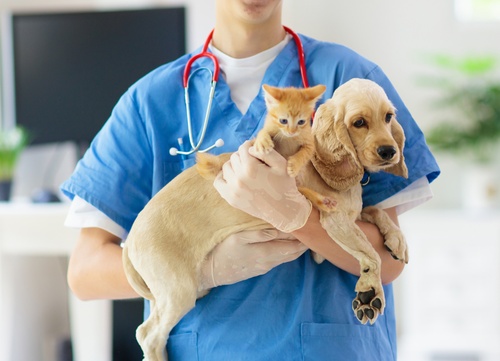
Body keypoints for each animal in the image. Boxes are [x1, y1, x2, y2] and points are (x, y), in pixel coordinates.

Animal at [199, 84, 336, 211]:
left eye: (301, 122)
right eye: (283, 121)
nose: (291, 131)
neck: (288, 138)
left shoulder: (309, 144)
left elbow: (304, 153)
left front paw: (294, 165)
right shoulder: (267, 130)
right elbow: (262, 133)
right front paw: (263, 141)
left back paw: (324, 202)